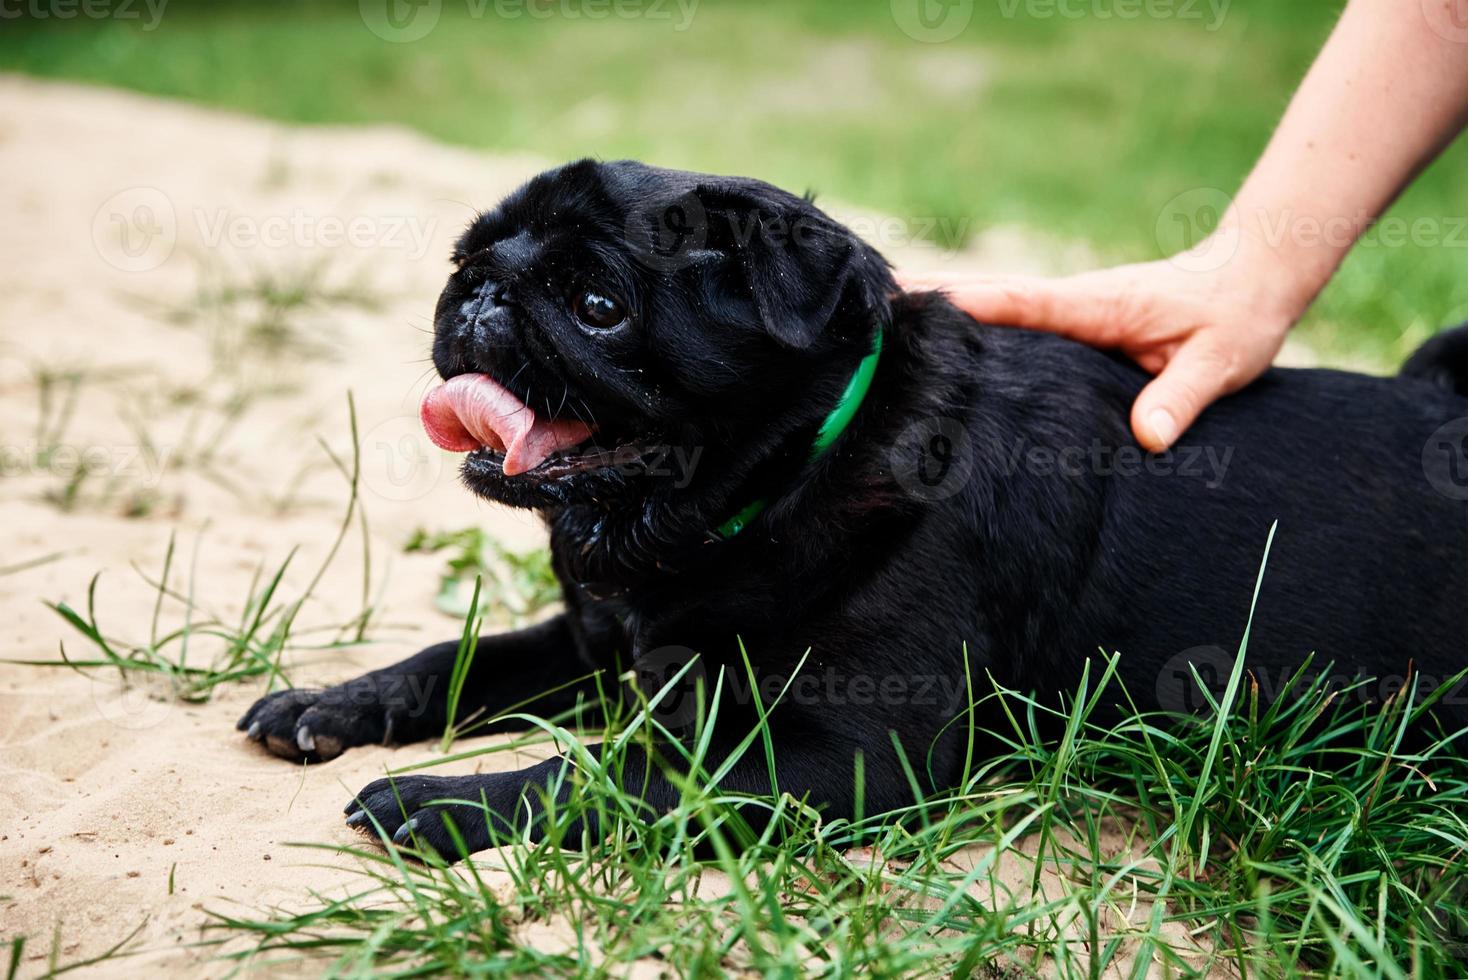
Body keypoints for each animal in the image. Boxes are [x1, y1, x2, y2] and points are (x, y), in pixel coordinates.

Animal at [237, 156, 1468, 850]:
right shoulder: (607, 646)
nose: (481, 292)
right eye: (469, 257)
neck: (783, 482)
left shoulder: (847, 754)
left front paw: (442, 804)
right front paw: (337, 701)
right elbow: (463, 659)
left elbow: (615, 776)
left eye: (596, 304)